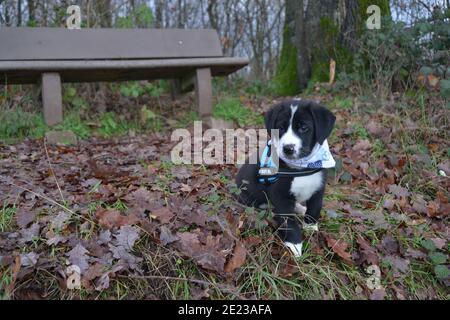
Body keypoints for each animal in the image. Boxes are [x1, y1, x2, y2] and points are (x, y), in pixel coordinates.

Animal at [236, 99, 334, 256]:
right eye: (280, 128)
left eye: (303, 128)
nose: (288, 148)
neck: (301, 168)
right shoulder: (280, 196)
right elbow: (289, 222)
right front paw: (295, 245)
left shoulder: (318, 188)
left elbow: (314, 209)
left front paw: (311, 228)